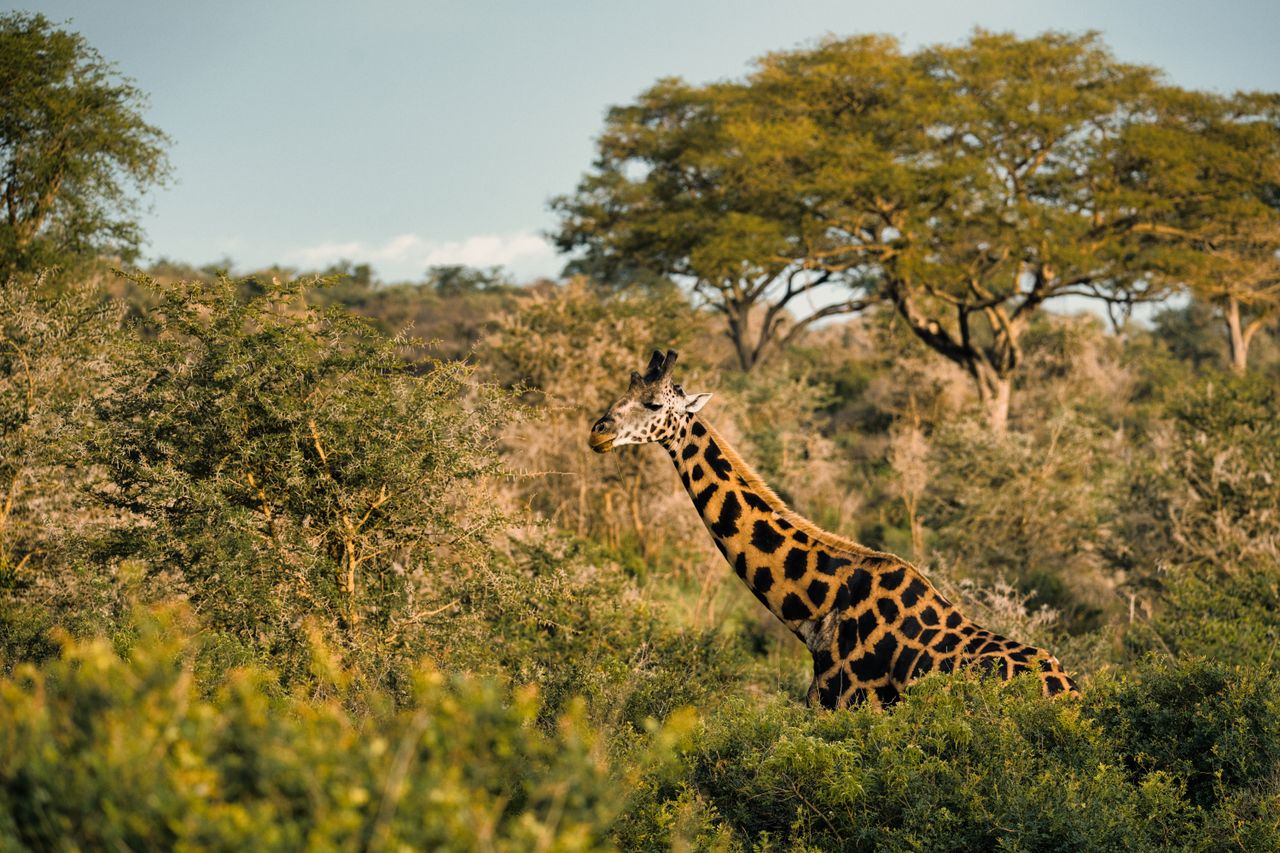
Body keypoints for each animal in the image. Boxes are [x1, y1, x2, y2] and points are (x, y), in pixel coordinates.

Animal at [588, 349, 1078, 710]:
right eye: (625, 389)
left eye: (654, 404)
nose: (598, 432)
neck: (816, 608)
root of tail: (1073, 696)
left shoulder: (843, 706)